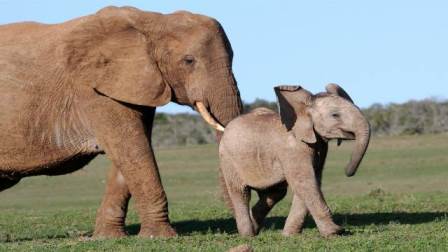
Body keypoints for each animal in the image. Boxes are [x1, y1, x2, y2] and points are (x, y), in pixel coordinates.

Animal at [0, 5, 243, 238]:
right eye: (189, 61)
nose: (245, 234)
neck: (153, 20)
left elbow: (133, 149)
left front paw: (107, 238)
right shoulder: (95, 90)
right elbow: (132, 148)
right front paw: (160, 237)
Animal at [220, 84, 372, 236]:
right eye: (335, 115)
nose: (347, 172)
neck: (304, 109)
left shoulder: (319, 146)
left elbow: (312, 180)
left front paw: (289, 235)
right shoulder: (293, 148)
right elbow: (305, 182)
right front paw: (335, 232)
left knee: (274, 193)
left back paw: (255, 227)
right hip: (228, 159)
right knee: (241, 192)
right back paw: (248, 235)